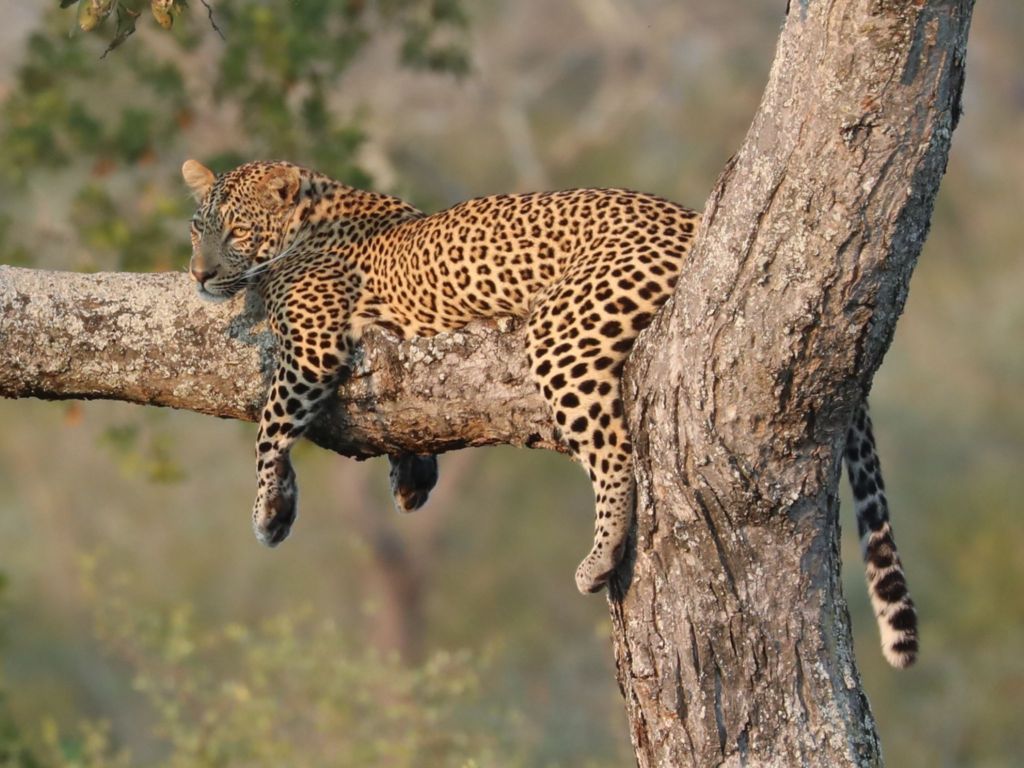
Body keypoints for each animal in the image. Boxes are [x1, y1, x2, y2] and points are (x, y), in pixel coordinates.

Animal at [180, 160, 917, 667]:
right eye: (195, 232)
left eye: (237, 231)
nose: (198, 276)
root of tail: (692, 220)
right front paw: (411, 477)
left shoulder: (311, 343)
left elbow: (271, 425)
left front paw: (270, 509)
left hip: (565, 328)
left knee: (615, 451)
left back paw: (598, 558)